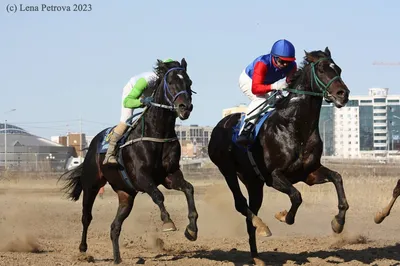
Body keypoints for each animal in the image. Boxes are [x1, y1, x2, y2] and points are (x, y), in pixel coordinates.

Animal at [58, 58, 198, 264]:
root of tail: (93, 144)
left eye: (189, 82)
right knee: (86, 216)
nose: (185, 107)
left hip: (126, 195)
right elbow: (158, 196)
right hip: (91, 184)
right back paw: (83, 250)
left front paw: (192, 229)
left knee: (114, 227)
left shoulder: (169, 176)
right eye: (171, 82)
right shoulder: (141, 177)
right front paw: (167, 221)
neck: (157, 133)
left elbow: (188, 188)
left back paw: (117, 259)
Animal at [209, 48, 350, 266]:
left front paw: (338, 222)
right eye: (320, 69)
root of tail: (218, 126)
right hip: (228, 171)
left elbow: (337, 178)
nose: (343, 94)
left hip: (254, 183)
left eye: (339, 69)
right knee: (241, 204)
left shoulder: (308, 174)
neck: (295, 126)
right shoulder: (274, 176)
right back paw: (262, 227)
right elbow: (296, 196)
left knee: (250, 214)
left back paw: (257, 256)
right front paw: (283, 216)